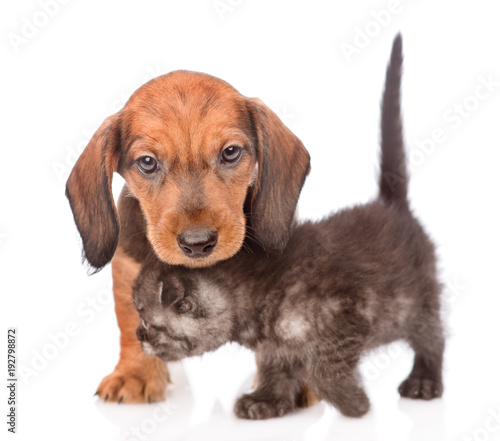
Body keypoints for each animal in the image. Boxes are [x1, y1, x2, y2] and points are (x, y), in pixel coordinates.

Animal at [65, 69, 310, 402]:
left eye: (230, 152)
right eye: (147, 162)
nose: (197, 243)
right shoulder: (128, 269)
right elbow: (131, 322)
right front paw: (135, 373)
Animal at [131, 36, 444, 418]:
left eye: (149, 322)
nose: (138, 336)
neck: (253, 291)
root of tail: (391, 206)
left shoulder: (347, 315)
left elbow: (325, 371)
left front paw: (354, 404)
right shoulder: (275, 345)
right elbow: (276, 368)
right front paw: (266, 400)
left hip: (420, 301)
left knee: (433, 339)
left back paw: (424, 381)